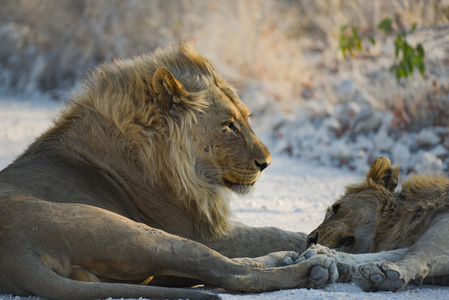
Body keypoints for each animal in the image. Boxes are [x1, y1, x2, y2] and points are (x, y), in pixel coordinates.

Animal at [0, 42, 336, 300]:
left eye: (247, 117)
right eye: (228, 125)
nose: (266, 163)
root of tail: (17, 251)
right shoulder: (200, 231)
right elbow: (271, 233)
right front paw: (315, 242)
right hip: (141, 234)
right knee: (229, 274)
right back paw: (312, 268)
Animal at [306, 158, 448, 292]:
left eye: (337, 208)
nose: (310, 240)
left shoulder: (443, 221)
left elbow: (417, 251)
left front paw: (386, 271)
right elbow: (389, 253)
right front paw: (325, 256)